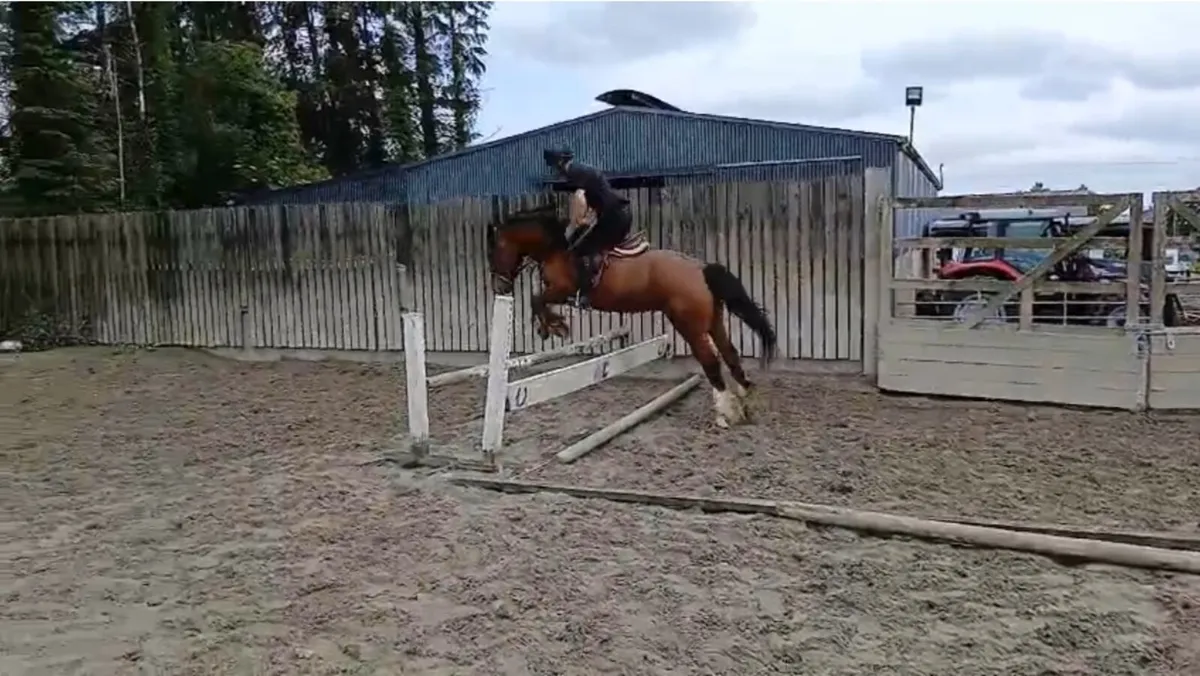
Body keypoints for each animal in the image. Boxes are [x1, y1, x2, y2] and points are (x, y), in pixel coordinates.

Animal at [486, 203, 777, 429]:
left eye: (496, 250)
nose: (500, 288)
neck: (557, 247)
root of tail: (701, 268)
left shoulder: (561, 289)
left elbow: (537, 300)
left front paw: (554, 327)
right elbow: (537, 301)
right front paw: (551, 327)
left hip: (689, 326)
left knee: (711, 362)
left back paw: (724, 415)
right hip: (714, 321)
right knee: (730, 354)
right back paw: (743, 404)